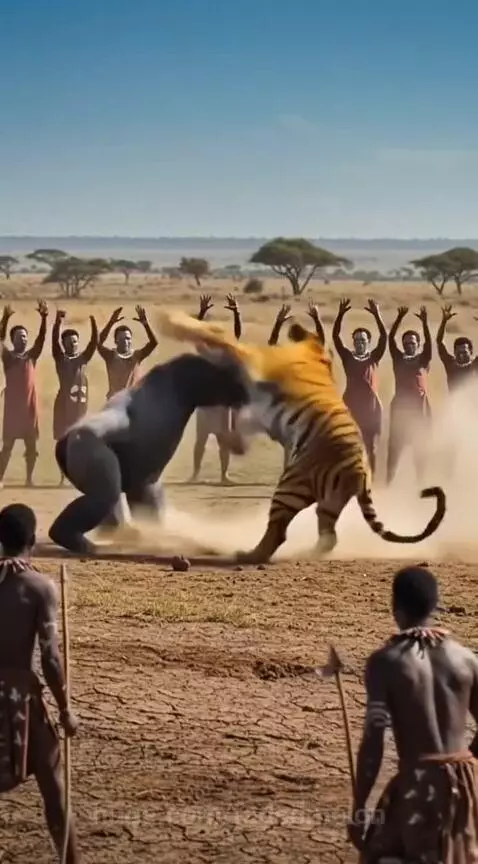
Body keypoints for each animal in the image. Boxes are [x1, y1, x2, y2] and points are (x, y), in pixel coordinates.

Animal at [159, 309, 446, 564]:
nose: (296, 324)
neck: (316, 355)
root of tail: (360, 473)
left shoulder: (250, 359)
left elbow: (215, 335)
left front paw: (172, 321)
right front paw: (235, 443)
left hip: (289, 486)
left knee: (277, 532)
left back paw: (248, 555)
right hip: (329, 503)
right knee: (328, 537)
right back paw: (308, 553)